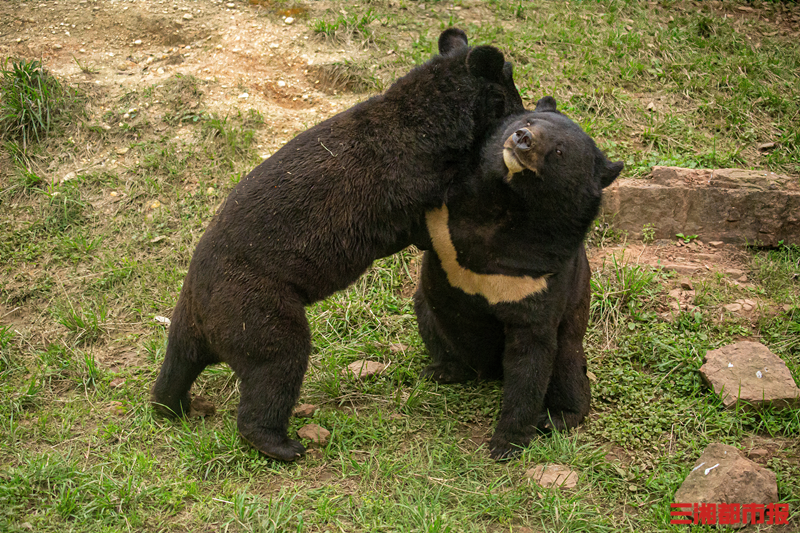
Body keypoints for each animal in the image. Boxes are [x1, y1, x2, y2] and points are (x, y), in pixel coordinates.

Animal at [150, 29, 524, 462]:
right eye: (512, 89)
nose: (524, 120)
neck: (432, 127)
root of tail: (199, 309)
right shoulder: (410, 183)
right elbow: (438, 211)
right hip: (255, 306)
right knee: (277, 364)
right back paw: (279, 442)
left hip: (193, 326)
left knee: (177, 365)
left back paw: (171, 405)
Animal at [416, 97, 620, 460]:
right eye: (527, 121)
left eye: (558, 151)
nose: (522, 139)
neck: (508, 203)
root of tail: (488, 372)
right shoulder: (444, 220)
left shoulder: (541, 271)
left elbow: (531, 352)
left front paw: (505, 443)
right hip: (425, 311)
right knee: (433, 327)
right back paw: (441, 370)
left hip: (570, 340)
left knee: (568, 369)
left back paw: (557, 417)